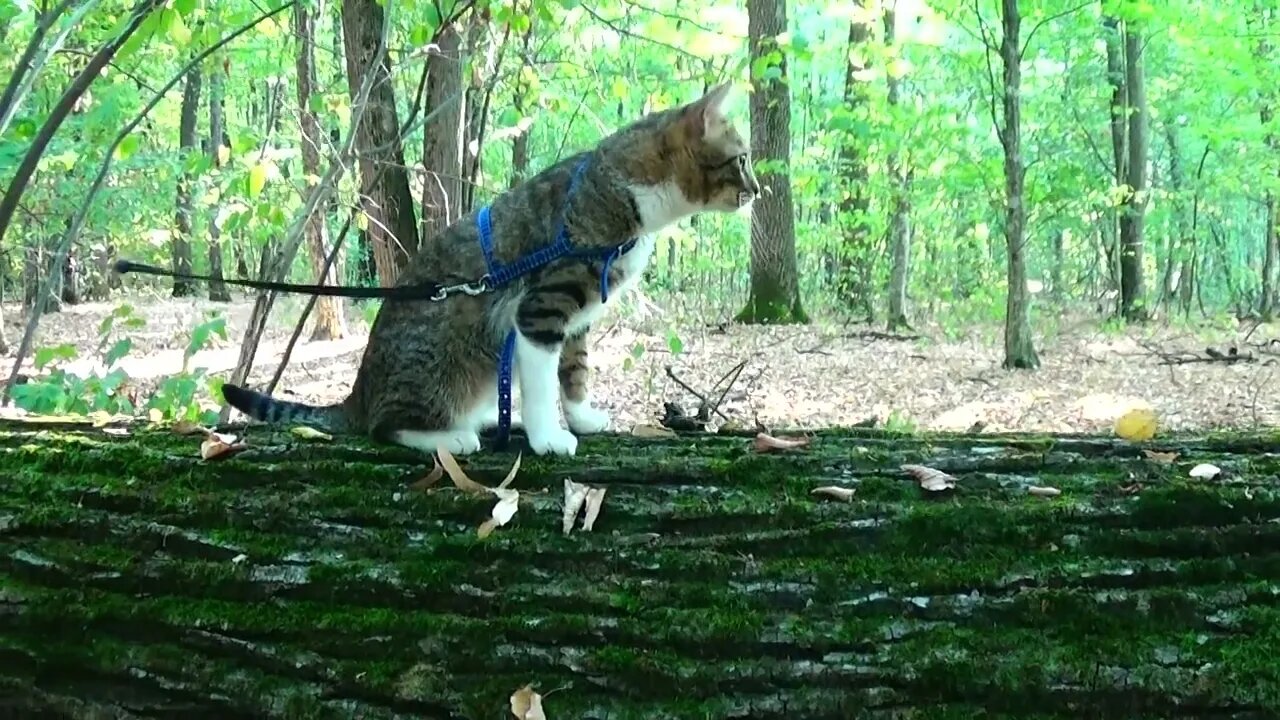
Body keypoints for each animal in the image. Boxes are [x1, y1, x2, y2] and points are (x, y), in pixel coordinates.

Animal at [220, 81, 757, 453]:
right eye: (743, 160)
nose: (759, 189)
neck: (623, 190)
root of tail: (358, 394)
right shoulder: (541, 309)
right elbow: (542, 382)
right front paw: (548, 437)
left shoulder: (577, 321)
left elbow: (575, 372)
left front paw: (581, 419)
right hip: (441, 362)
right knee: (385, 425)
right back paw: (449, 436)